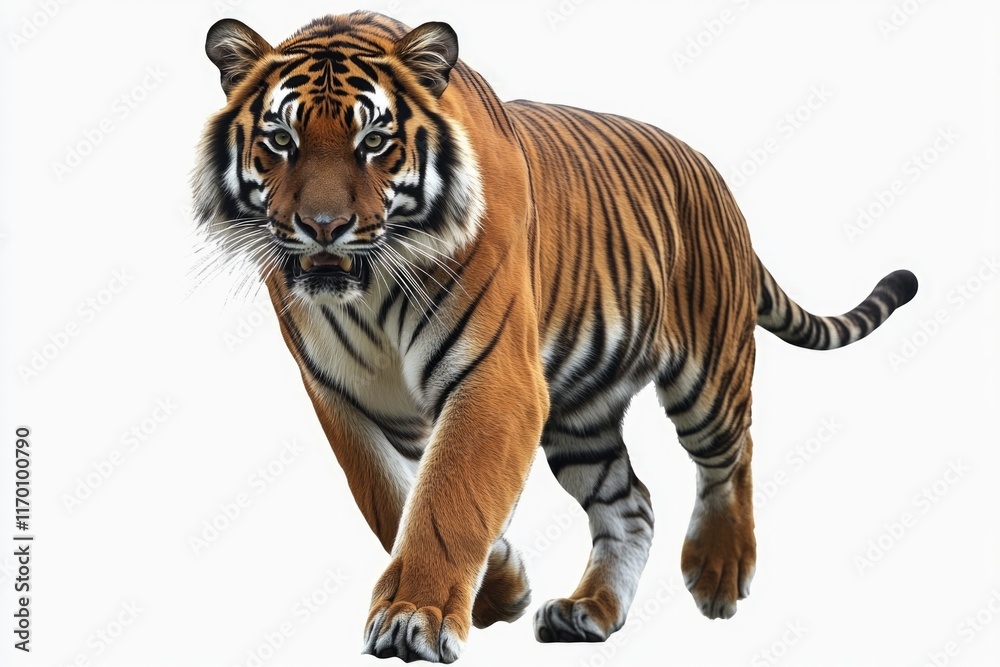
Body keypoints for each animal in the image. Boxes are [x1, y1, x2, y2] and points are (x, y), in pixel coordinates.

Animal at [192, 10, 918, 663]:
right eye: (280, 139)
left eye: (373, 141)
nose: (322, 226)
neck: (369, 291)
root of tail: (717, 181)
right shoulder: (343, 394)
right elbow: (391, 496)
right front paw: (500, 586)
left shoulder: (495, 378)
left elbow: (449, 495)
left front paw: (413, 618)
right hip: (580, 417)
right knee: (632, 503)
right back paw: (590, 609)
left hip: (707, 375)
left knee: (731, 455)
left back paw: (719, 569)